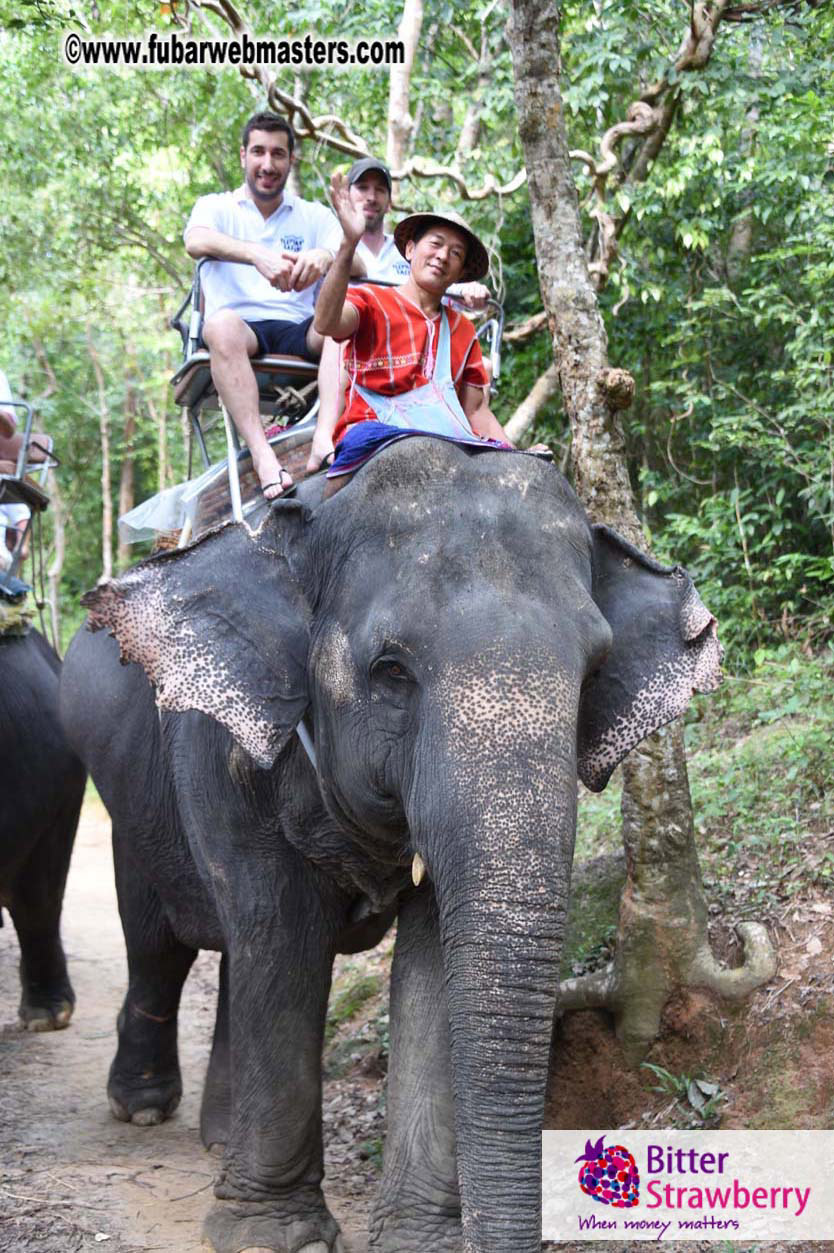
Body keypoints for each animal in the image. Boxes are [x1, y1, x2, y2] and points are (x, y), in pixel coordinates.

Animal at [59, 437, 721, 1253]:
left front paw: (418, 1240)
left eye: (595, 671)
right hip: (131, 791)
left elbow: (431, 958)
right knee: (162, 941)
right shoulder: (224, 754)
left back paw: (218, 1137)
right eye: (391, 671)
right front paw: (275, 1237)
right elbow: (282, 935)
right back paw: (146, 1108)